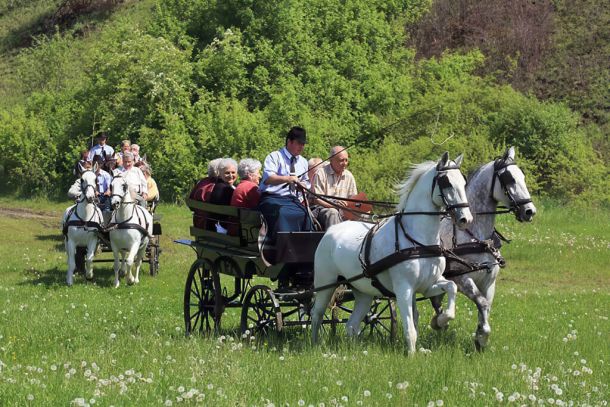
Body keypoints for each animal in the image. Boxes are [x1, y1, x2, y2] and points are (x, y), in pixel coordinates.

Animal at [312, 153, 472, 354]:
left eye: (463, 181)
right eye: (446, 182)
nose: (466, 219)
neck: (417, 240)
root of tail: (330, 231)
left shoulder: (428, 284)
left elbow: (451, 287)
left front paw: (440, 321)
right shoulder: (404, 289)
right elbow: (410, 328)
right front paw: (411, 355)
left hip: (363, 292)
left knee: (352, 325)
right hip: (325, 284)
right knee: (316, 314)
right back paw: (315, 344)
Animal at [430, 147, 536, 350]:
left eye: (523, 176)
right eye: (510, 179)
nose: (530, 211)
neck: (474, 235)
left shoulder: (489, 282)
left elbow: (485, 306)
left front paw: (480, 337)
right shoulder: (462, 280)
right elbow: (481, 302)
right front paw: (482, 335)